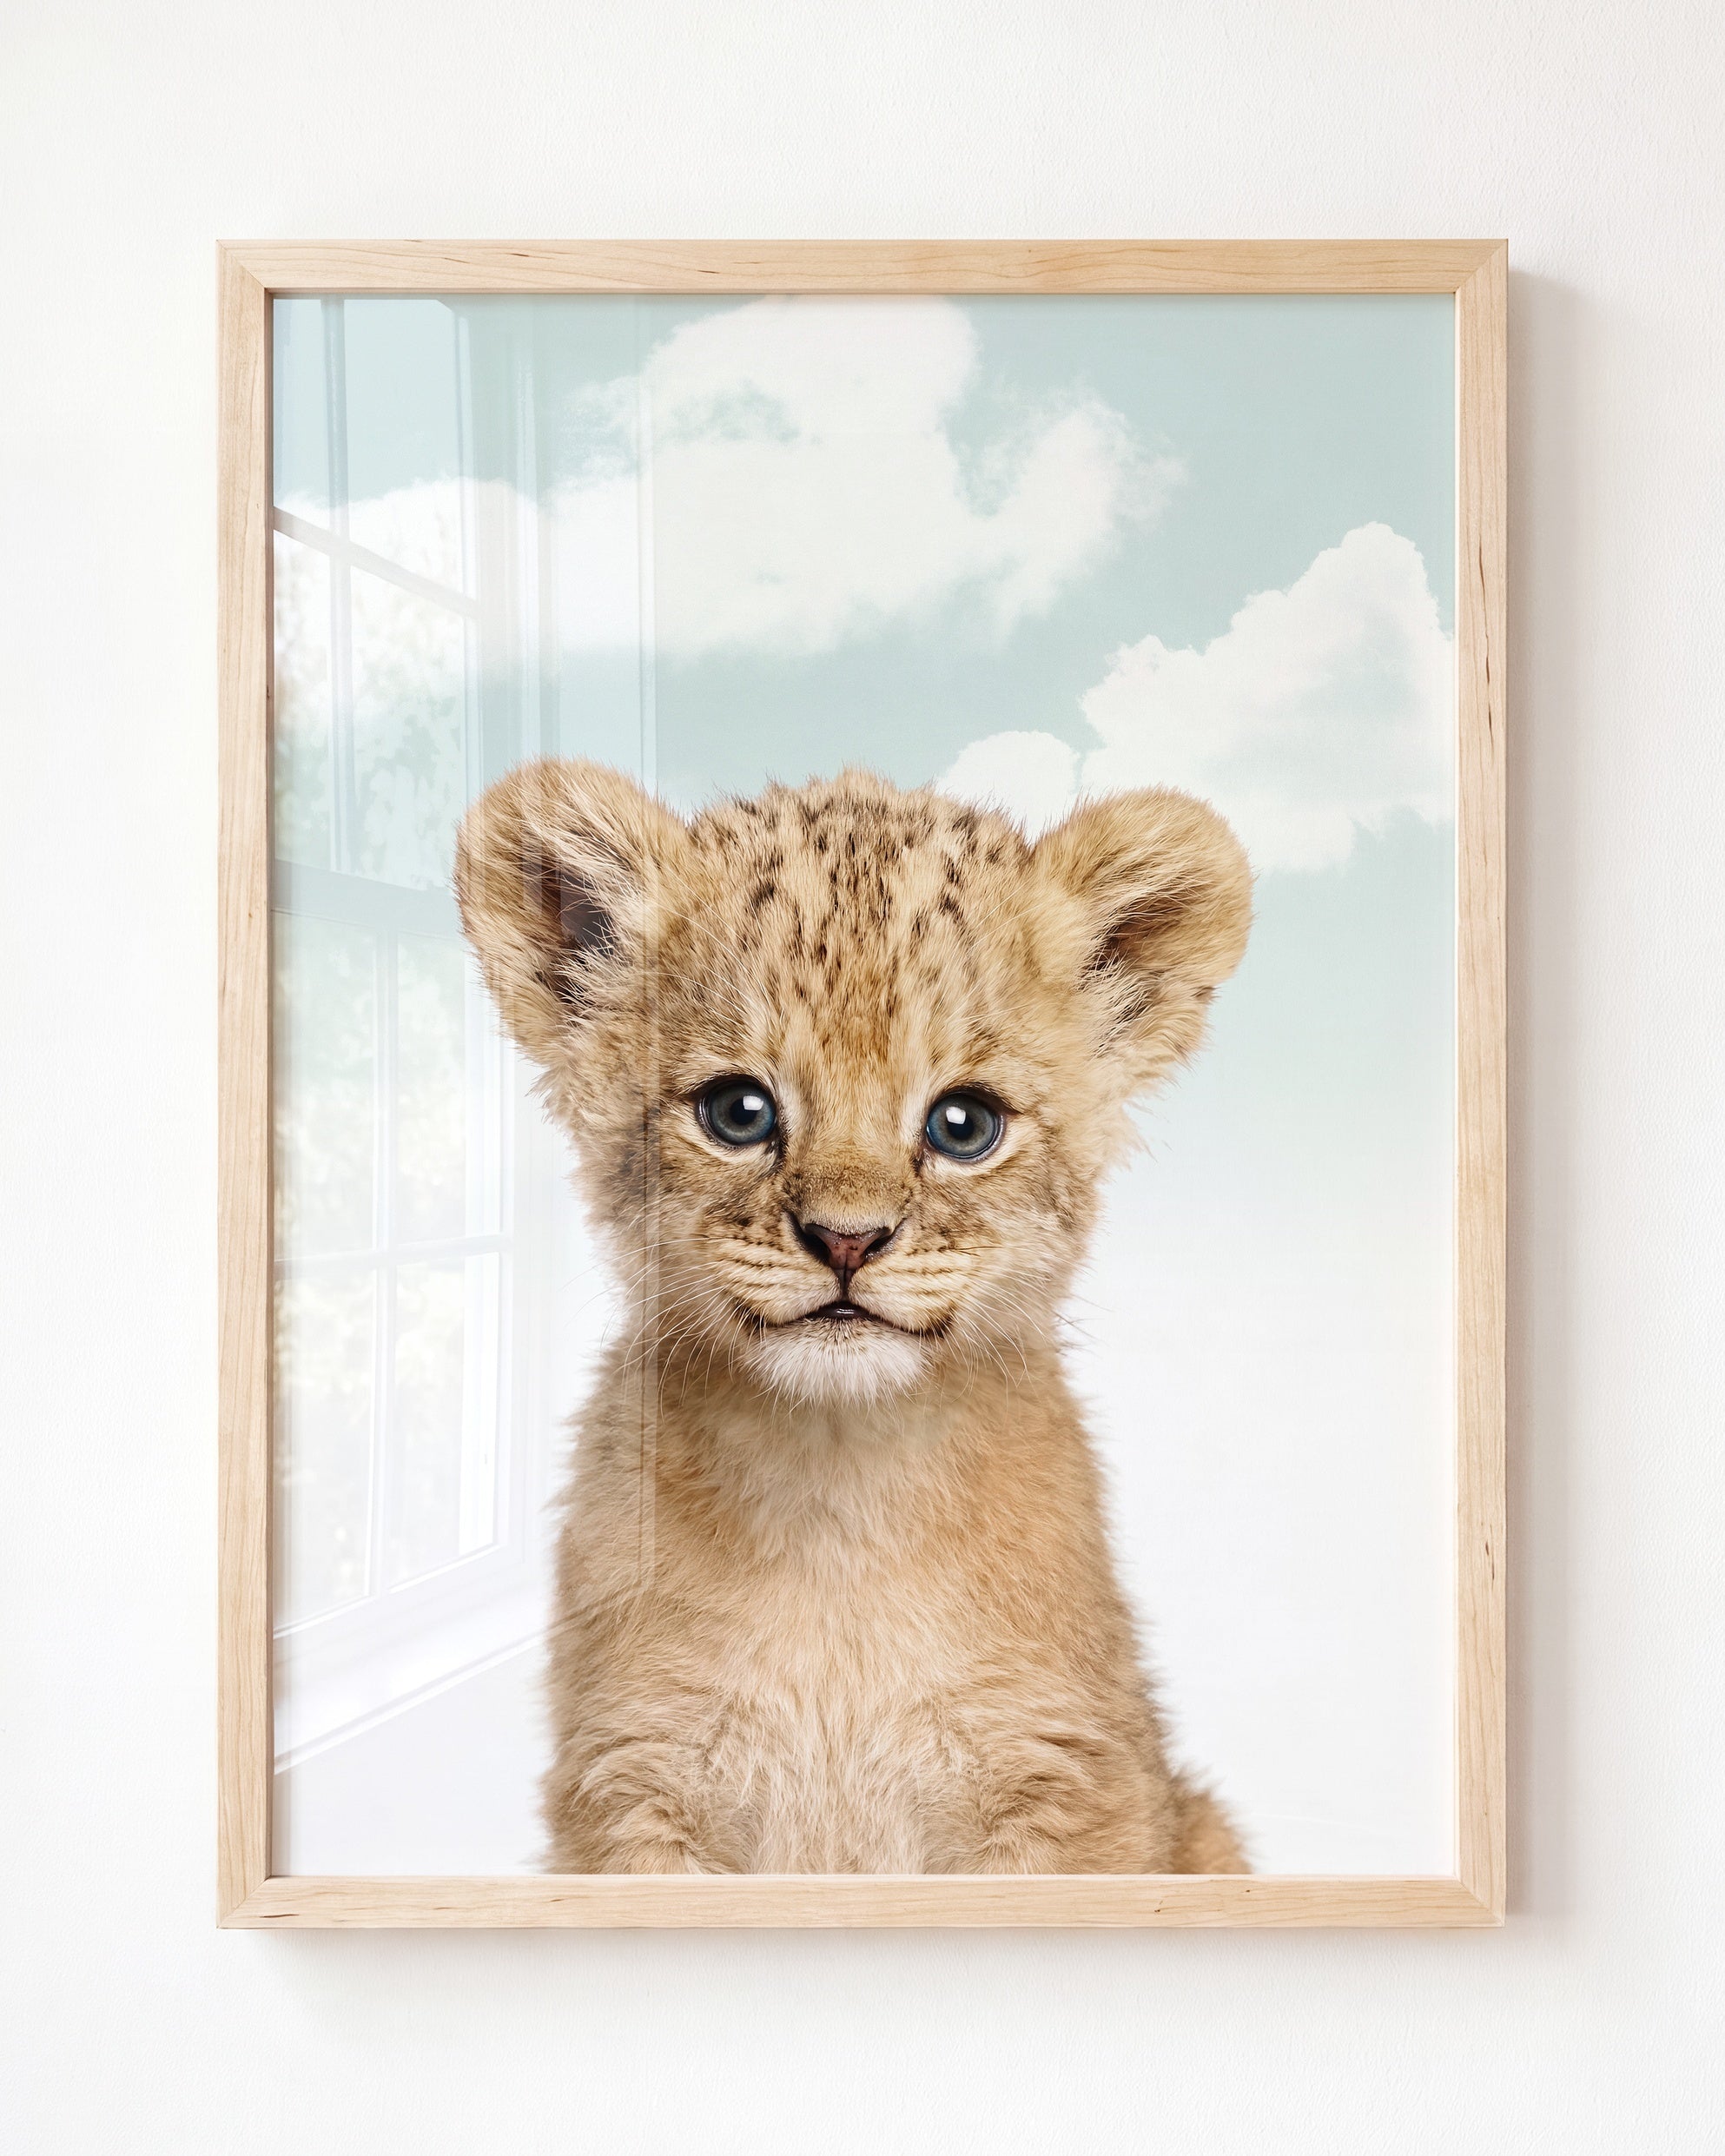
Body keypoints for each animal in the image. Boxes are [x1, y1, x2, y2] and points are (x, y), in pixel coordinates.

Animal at [455, 760, 1253, 1874]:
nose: (845, 1240)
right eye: (738, 1111)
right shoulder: (634, 1783)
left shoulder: (1067, 1779)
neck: (837, 1499)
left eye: (964, 1125)